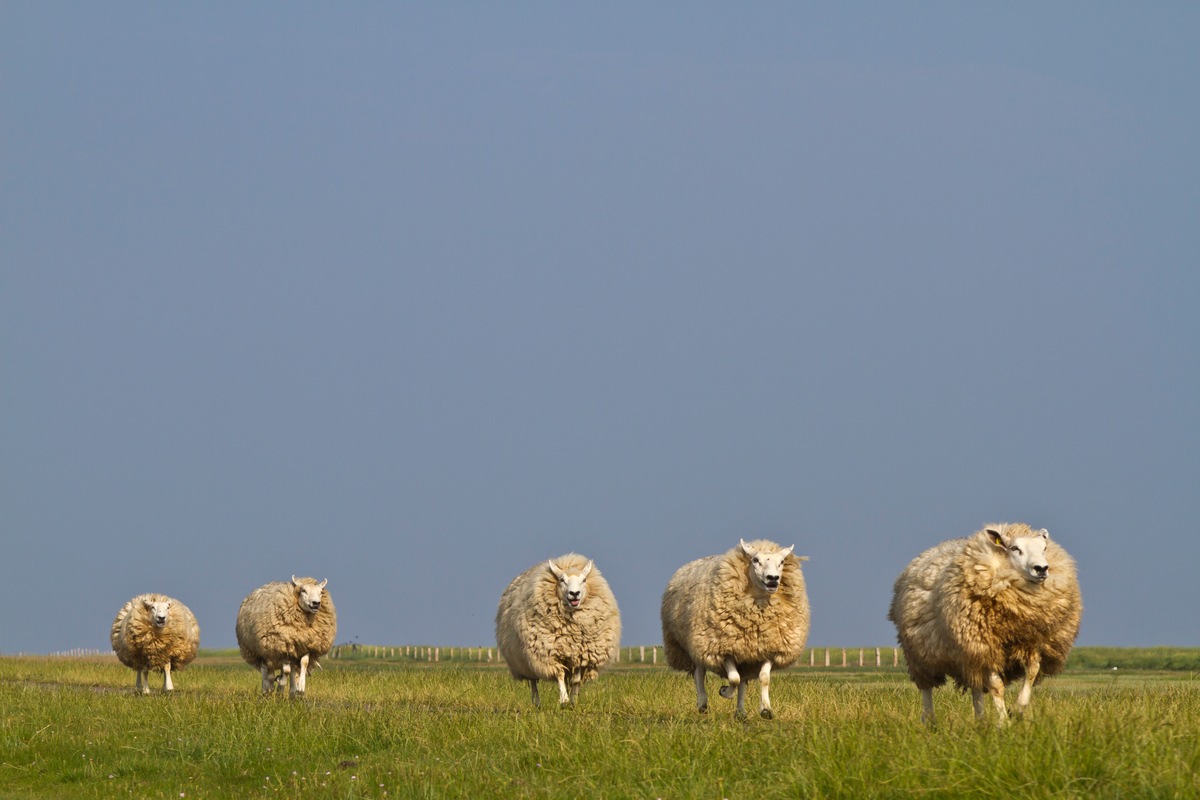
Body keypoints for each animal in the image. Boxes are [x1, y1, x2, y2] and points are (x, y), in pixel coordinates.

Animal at [494, 554, 624, 710]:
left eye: (584, 580)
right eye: (562, 580)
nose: (574, 593)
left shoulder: (581, 655)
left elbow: (575, 681)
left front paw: (573, 701)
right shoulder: (550, 654)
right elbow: (559, 675)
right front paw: (564, 700)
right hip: (525, 660)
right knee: (533, 682)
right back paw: (536, 702)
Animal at [662, 537, 811, 719]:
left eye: (782, 562)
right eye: (755, 560)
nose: (773, 578)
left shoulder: (768, 648)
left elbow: (763, 678)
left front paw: (766, 709)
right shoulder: (723, 648)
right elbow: (734, 678)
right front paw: (725, 691)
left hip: (744, 656)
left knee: (743, 682)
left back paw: (740, 712)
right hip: (699, 644)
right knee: (700, 673)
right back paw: (703, 704)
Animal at [888, 522, 1084, 729]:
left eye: (1044, 548)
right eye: (1015, 548)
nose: (1041, 568)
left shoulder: (1033, 643)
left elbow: (1031, 673)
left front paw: (1017, 710)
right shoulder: (984, 645)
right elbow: (996, 687)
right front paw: (1003, 722)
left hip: (968, 657)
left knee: (976, 688)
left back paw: (980, 721)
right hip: (920, 654)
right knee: (926, 689)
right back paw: (930, 721)